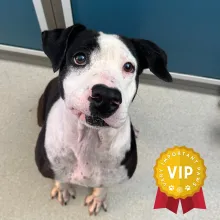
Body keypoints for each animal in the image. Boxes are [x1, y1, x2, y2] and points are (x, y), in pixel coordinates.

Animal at [35, 23, 172, 216]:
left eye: (129, 66)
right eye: (80, 58)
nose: (106, 96)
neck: (89, 138)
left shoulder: (114, 175)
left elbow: (103, 186)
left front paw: (98, 198)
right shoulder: (52, 167)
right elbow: (60, 178)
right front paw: (63, 189)